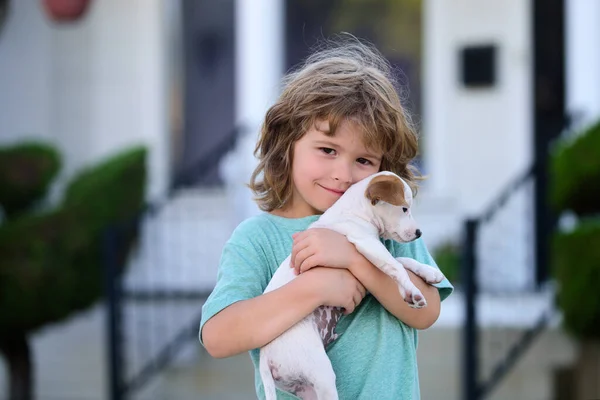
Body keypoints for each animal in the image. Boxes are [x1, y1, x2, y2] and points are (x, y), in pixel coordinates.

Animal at [258, 171, 446, 400]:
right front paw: (413, 291)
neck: (357, 211)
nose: (419, 233)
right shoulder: (366, 243)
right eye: (404, 208)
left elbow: (402, 261)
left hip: (307, 387)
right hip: (321, 373)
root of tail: (265, 360)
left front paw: (428, 273)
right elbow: (396, 266)